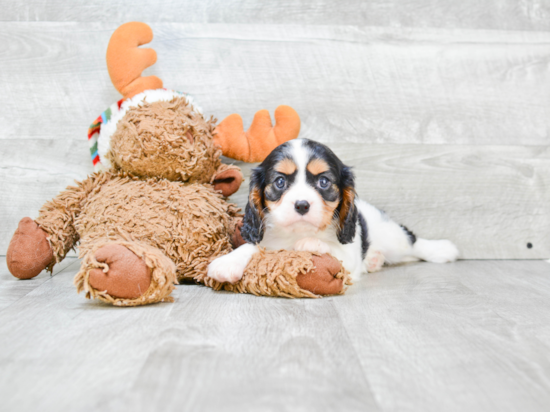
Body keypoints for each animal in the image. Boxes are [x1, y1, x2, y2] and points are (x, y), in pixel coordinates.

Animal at [209, 138, 460, 284]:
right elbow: (254, 246)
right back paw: (374, 260)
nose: (302, 204)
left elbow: (331, 249)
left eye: (324, 182)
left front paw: (309, 244)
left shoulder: (347, 256)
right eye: (280, 182)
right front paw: (227, 262)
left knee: (412, 243)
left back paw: (442, 249)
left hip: (392, 235)